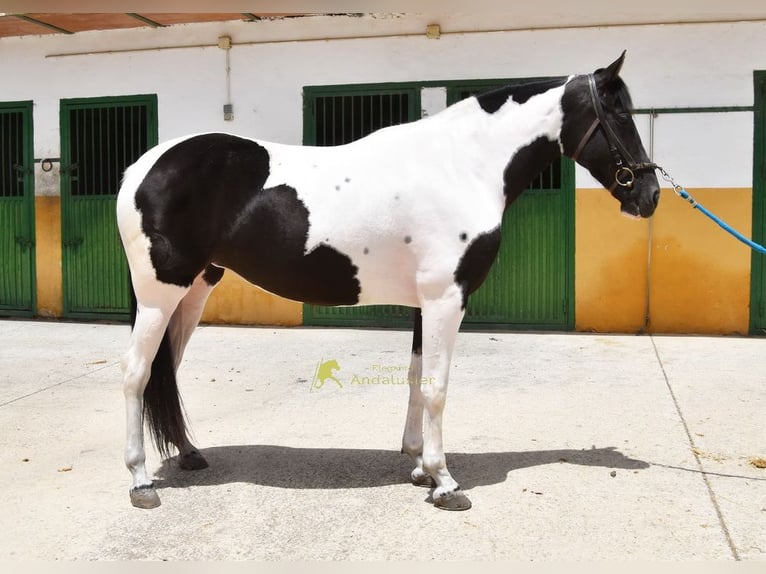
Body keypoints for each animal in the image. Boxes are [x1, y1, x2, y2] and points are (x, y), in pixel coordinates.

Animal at [116, 52, 660, 511]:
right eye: (621, 115)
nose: (650, 194)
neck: (462, 167)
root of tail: (139, 168)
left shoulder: (426, 302)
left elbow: (417, 378)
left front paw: (418, 465)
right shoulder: (447, 298)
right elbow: (438, 386)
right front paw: (445, 482)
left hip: (194, 290)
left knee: (168, 369)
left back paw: (188, 454)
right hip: (160, 294)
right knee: (137, 374)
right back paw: (141, 481)